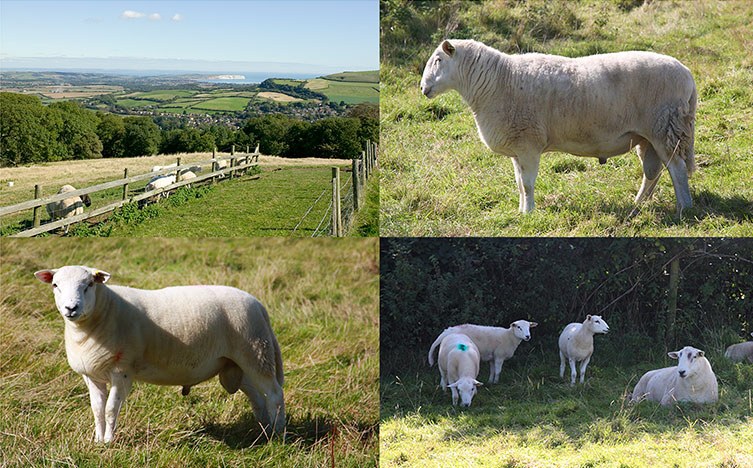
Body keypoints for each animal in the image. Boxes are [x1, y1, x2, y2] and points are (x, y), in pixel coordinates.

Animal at [33, 266, 284, 442]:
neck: (105, 310)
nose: (71, 308)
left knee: (274, 393)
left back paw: (277, 434)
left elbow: (111, 409)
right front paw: (97, 440)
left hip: (255, 351)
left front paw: (109, 442)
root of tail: (259, 305)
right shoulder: (92, 375)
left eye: (88, 285)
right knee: (257, 397)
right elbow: (97, 409)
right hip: (237, 362)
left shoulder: (122, 371)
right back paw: (263, 429)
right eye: (55, 285)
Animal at [420, 39, 696, 214]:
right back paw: (639, 204)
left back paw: (684, 207)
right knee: (653, 173)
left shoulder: (529, 144)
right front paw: (521, 210)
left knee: (678, 169)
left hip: (665, 128)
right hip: (648, 136)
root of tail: (687, 74)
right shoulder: (517, 148)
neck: (497, 81)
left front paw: (529, 214)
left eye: (438, 60)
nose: (422, 88)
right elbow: (519, 184)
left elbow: (528, 184)